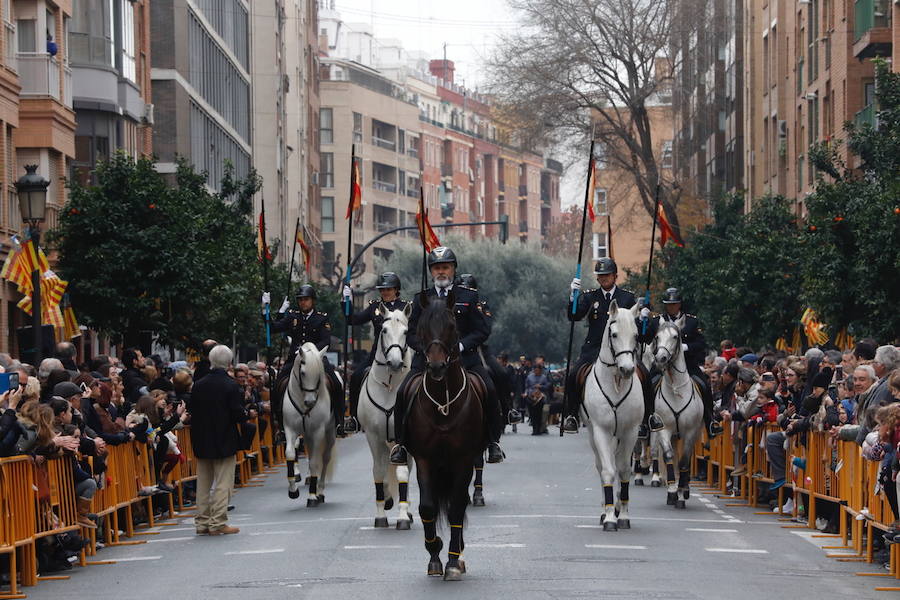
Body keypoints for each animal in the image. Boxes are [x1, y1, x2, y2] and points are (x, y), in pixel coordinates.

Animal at [284, 342, 336, 506]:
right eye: (303, 373)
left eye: (319, 374)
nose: (310, 402)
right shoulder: (290, 429)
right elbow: (289, 453)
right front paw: (293, 490)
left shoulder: (318, 431)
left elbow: (314, 462)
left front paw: (312, 496)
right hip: (307, 435)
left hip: (329, 433)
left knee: (324, 458)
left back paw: (320, 491)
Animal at [358, 304, 414, 528]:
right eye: (383, 330)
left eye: (406, 332)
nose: (395, 362)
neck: (390, 386)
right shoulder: (373, 436)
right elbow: (379, 472)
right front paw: (381, 513)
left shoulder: (402, 437)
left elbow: (402, 473)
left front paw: (403, 516)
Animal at [406, 290, 488, 580]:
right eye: (421, 327)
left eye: (452, 325)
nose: (437, 367)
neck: (443, 404)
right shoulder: (424, 459)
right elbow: (427, 507)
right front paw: (434, 553)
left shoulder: (463, 459)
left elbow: (455, 508)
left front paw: (452, 560)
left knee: (459, 502)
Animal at [584, 300, 648, 528]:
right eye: (614, 334)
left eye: (637, 335)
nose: (627, 369)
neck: (616, 382)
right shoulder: (601, 430)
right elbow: (608, 470)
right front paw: (610, 516)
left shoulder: (630, 431)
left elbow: (624, 470)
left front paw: (624, 515)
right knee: (602, 465)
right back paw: (606, 509)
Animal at [652, 322, 704, 508]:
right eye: (657, 336)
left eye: (676, 336)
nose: (660, 358)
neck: (675, 388)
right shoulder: (663, 428)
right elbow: (669, 456)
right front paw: (672, 491)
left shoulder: (690, 431)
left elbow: (684, 461)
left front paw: (681, 493)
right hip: (674, 434)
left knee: (686, 460)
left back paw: (685, 489)